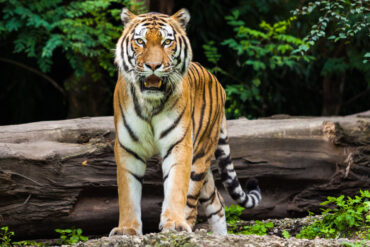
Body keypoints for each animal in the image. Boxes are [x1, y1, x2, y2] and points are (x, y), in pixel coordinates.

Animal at [109, 7, 260, 235]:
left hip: (200, 155)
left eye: (166, 42)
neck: (151, 104)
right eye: (141, 42)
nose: (153, 66)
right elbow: (127, 194)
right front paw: (127, 229)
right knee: (217, 201)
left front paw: (174, 223)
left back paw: (186, 225)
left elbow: (176, 187)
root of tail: (217, 82)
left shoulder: (179, 144)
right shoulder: (128, 148)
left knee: (194, 201)